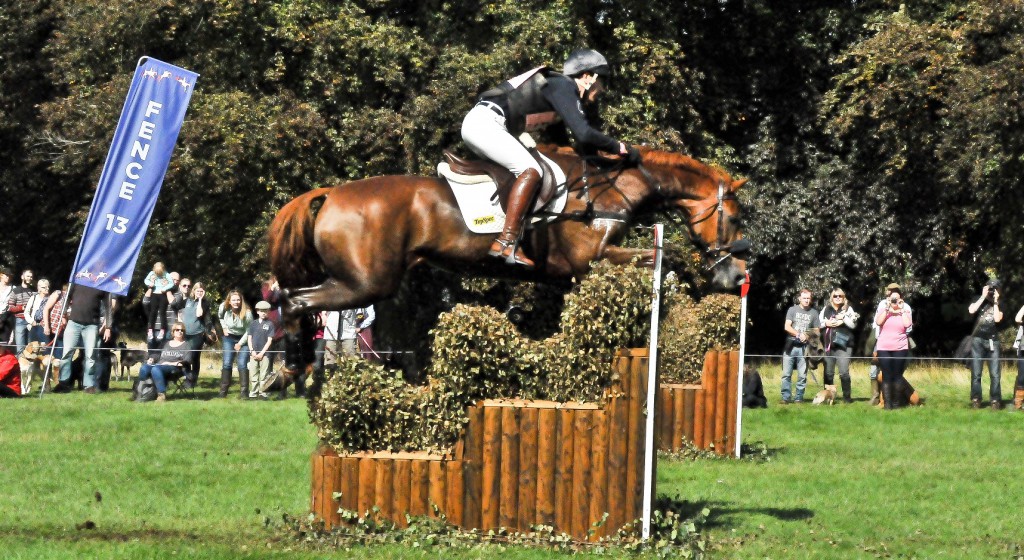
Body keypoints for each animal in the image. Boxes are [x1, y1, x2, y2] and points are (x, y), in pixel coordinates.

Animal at [268, 146, 749, 368]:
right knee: (293, 301)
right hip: (366, 282)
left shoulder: (572, 273)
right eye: (734, 218)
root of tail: (332, 193)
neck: (610, 190)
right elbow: (664, 259)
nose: (737, 275)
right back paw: (293, 366)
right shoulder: (589, 260)